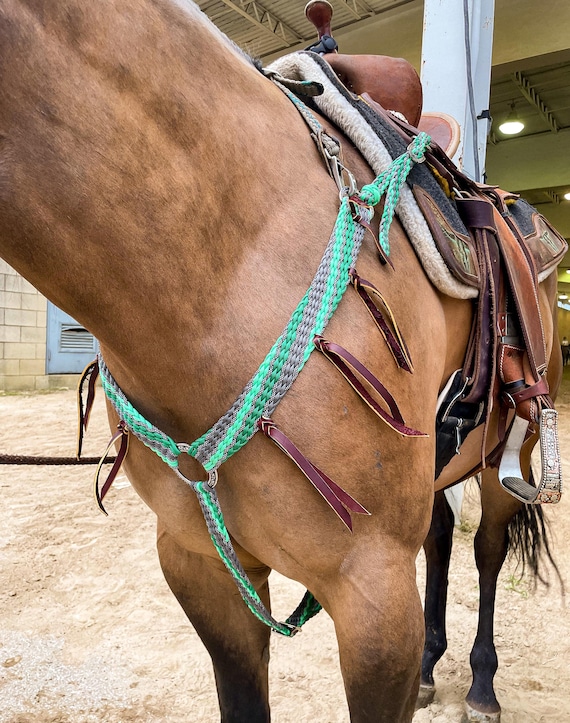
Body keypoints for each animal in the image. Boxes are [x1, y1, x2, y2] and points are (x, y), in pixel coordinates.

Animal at [0, 1, 562, 721]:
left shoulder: (374, 594)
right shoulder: (200, 565)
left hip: (502, 452)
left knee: (487, 550)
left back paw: (482, 682)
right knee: (440, 534)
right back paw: (433, 665)